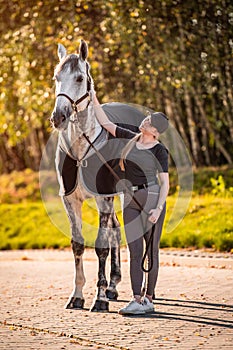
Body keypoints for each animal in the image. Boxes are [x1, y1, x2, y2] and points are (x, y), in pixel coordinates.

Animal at [50, 40, 147, 312]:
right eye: (56, 78)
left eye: (80, 78)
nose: (58, 117)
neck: (81, 146)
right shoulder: (70, 200)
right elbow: (78, 244)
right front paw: (77, 295)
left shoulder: (104, 197)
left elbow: (101, 245)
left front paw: (100, 298)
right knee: (115, 229)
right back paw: (113, 285)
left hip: (124, 194)